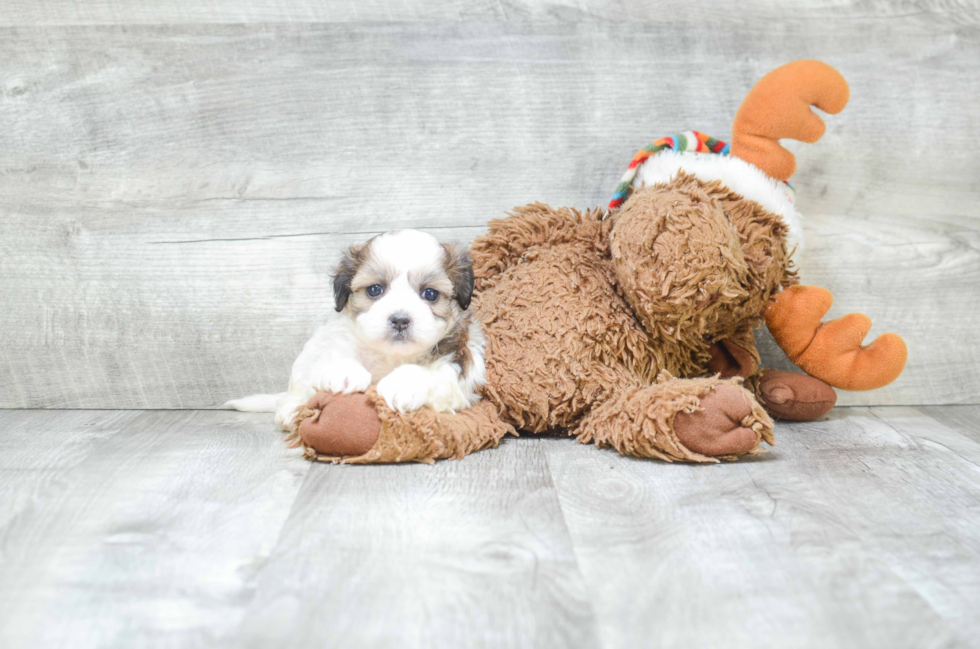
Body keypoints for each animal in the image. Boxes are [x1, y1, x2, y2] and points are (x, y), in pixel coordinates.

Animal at [226, 228, 486, 430]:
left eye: (430, 294)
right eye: (374, 290)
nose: (400, 320)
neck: (391, 356)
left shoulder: (459, 360)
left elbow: (435, 373)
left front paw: (403, 384)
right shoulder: (332, 341)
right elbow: (330, 359)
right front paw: (344, 373)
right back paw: (290, 411)